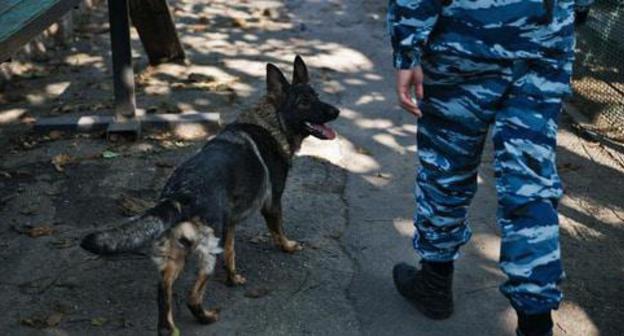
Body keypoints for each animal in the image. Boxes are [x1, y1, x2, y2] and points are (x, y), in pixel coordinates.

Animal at [81, 56, 342, 334]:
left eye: (317, 96)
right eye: (304, 102)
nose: (336, 112)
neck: (273, 121)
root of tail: (181, 194)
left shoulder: (230, 225)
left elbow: (231, 254)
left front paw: (233, 278)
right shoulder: (272, 205)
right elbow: (278, 232)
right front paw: (289, 247)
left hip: (177, 253)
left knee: (163, 289)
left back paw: (169, 327)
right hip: (207, 253)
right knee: (192, 296)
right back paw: (206, 317)